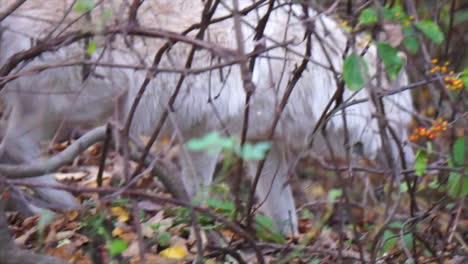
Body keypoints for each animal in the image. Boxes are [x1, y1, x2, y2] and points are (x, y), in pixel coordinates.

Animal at [1, 0, 414, 232]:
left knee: (13, 149)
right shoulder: (206, 130)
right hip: (86, 95)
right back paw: (68, 205)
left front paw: (284, 243)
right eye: (398, 125)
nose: (412, 167)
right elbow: (199, 192)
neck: (303, 69)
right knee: (17, 149)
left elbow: (283, 211)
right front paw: (204, 226)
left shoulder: (263, 143)